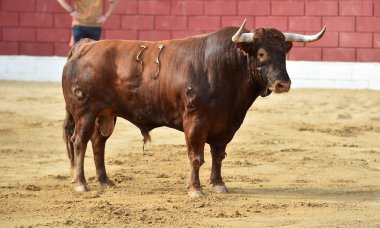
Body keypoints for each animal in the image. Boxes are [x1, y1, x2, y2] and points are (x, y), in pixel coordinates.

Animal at [61, 19, 324, 197]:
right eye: (261, 53)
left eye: (283, 53)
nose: (283, 83)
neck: (226, 67)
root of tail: (85, 46)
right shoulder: (195, 122)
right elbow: (196, 156)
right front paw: (195, 189)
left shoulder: (227, 125)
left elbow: (218, 155)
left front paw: (219, 185)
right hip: (85, 112)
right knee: (80, 142)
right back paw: (81, 183)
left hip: (105, 114)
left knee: (98, 143)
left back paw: (105, 181)